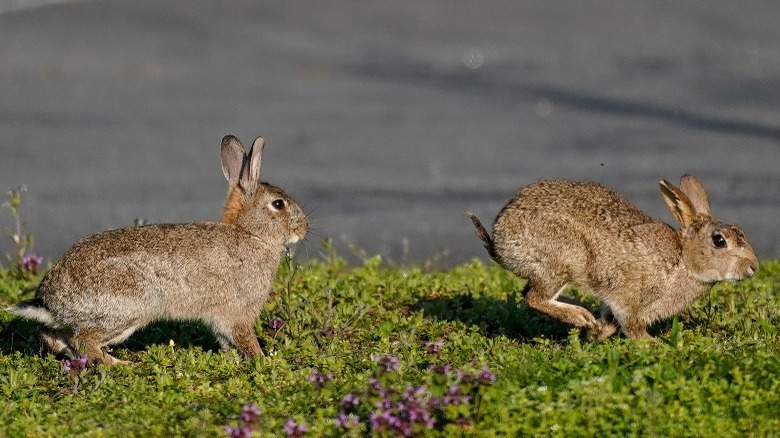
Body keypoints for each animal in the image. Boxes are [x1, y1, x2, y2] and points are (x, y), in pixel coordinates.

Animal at [470, 173, 756, 340]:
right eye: (719, 241)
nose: (753, 267)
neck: (683, 260)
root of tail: (500, 239)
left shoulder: (612, 300)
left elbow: (609, 322)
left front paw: (595, 334)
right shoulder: (631, 302)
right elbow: (632, 327)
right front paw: (652, 345)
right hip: (561, 260)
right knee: (534, 297)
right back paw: (580, 316)